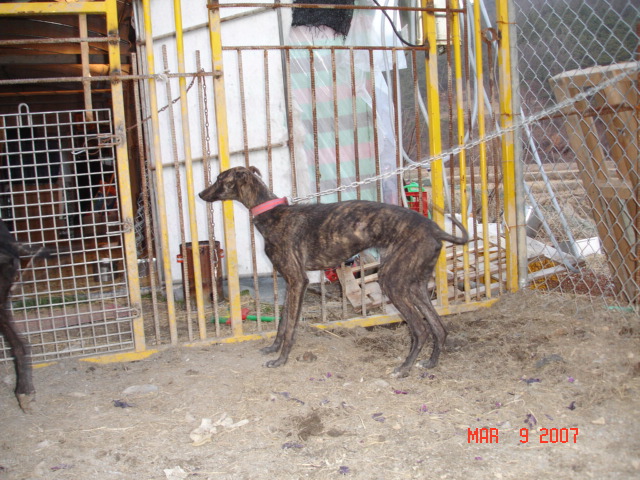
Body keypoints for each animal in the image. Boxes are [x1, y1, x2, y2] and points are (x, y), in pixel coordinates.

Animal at [199, 166, 468, 377]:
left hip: (393, 281)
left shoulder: (298, 280)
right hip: (415, 284)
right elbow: (283, 322)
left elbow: (290, 327)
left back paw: (403, 369)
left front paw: (280, 360)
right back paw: (430, 363)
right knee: (439, 327)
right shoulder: (291, 283)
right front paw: (273, 349)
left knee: (421, 329)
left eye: (220, 178)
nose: (200, 194)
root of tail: (435, 229)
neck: (271, 213)